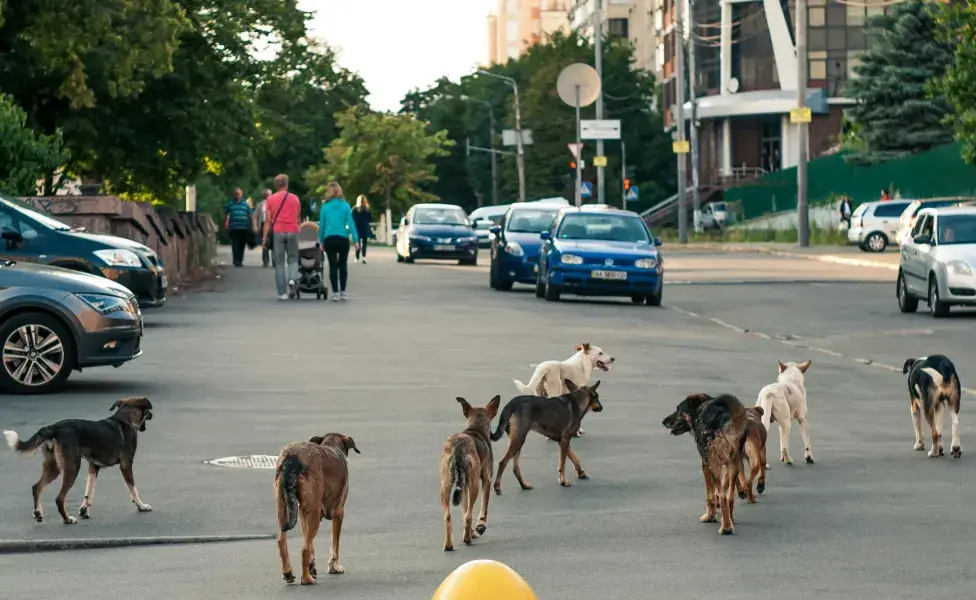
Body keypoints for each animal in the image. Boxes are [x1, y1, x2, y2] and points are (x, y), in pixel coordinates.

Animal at [3, 396, 154, 524]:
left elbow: (89, 490)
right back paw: (67, 519)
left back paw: (38, 513)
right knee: (59, 498)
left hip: (53, 468)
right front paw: (141, 506)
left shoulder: (94, 466)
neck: (125, 419)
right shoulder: (126, 465)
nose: (152, 415)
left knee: (36, 487)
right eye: (148, 411)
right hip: (72, 467)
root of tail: (54, 427)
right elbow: (133, 489)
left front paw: (84, 510)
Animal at [276, 428, 360, 588]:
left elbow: (311, 544)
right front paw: (334, 567)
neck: (332, 446)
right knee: (304, 548)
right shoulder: (339, 513)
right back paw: (306, 579)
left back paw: (288, 573)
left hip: (283, 509)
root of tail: (292, 457)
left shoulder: (303, 514)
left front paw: (312, 567)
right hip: (314, 513)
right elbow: (334, 545)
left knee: (282, 541)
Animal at [442, 396, 504, 552]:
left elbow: (464, 508)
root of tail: (459, 445)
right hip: (475, 484)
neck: (475, 428)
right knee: (469, 515)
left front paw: (469, 530)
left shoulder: (463, 487)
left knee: (449, 516)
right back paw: (467, 539)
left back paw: (449, 545)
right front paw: (480, 527)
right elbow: (483, 507)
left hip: (445, 486)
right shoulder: (486, 480)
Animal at [664, 394, 748, 536]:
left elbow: (711, 495)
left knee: (724, 497)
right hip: (734, 462)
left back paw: (726, 528)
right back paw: (730, 520)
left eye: (679, 409)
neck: (698, 412)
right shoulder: (727, 463)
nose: (663, 421)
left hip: (714, 464)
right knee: (729, 497)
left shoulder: (706, 462)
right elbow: (723, 488)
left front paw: (710, 516)